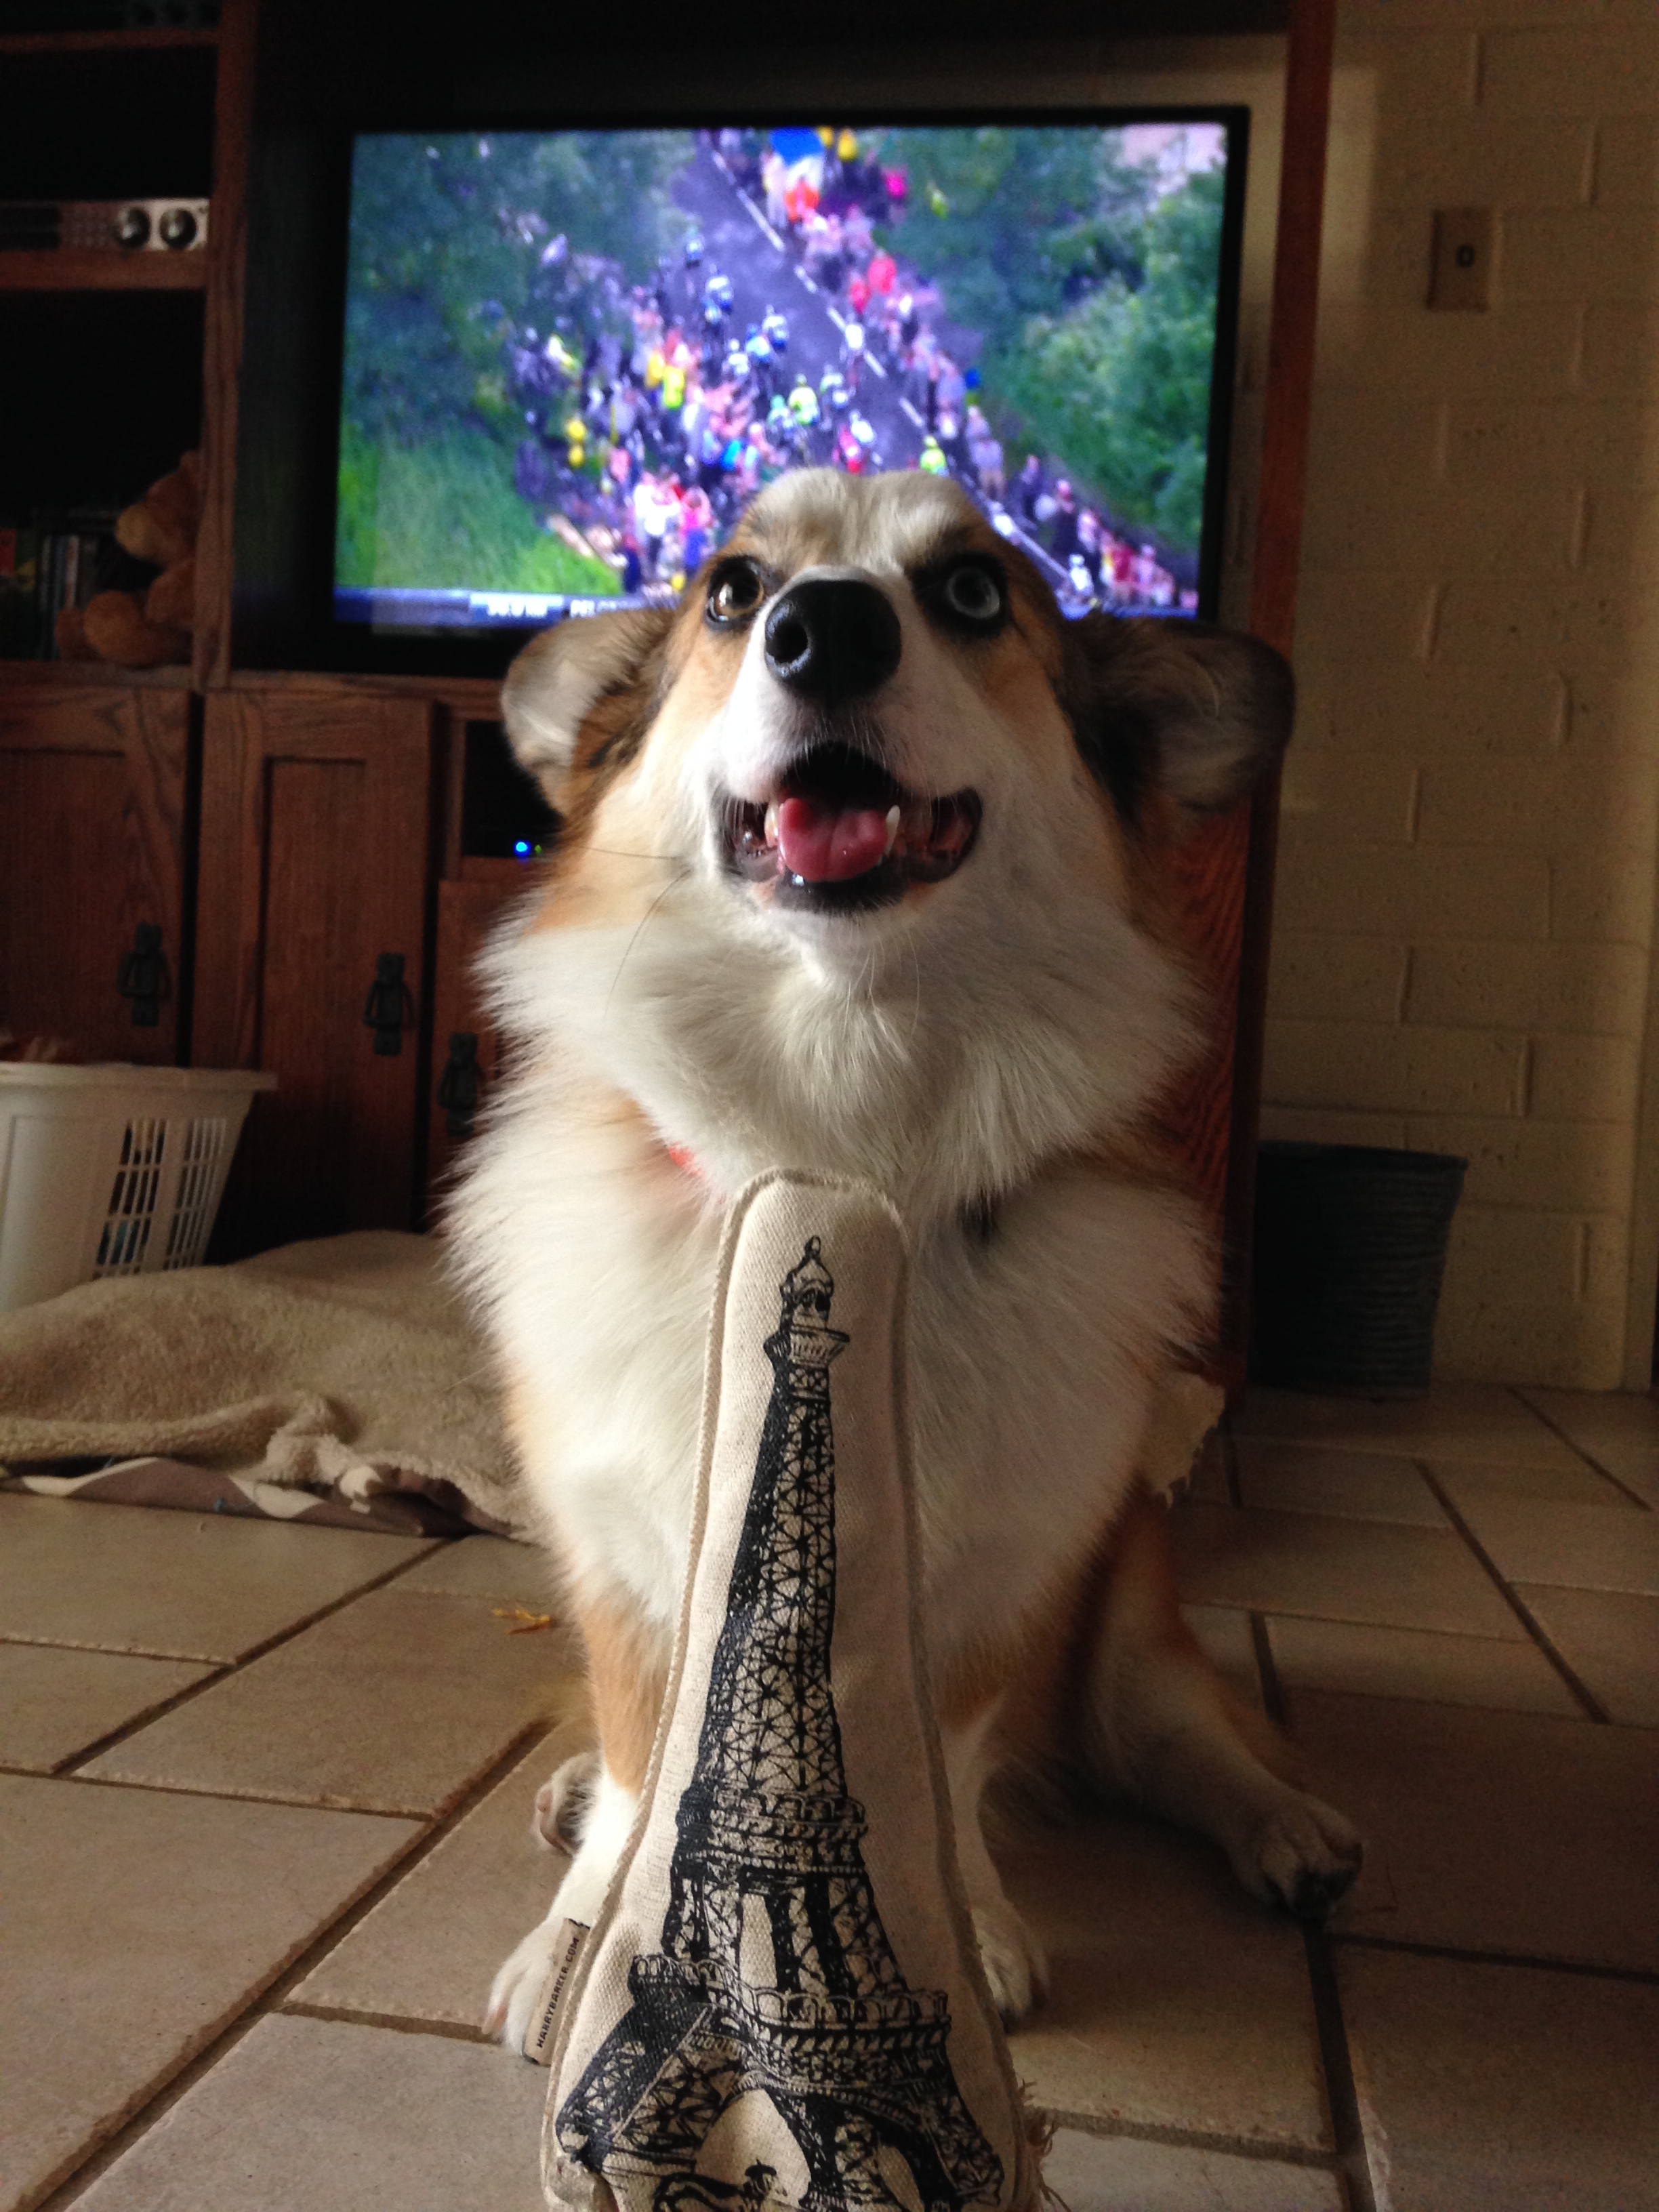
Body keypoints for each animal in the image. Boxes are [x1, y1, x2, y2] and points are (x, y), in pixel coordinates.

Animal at [455, 471, 1362, 2052]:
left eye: (974, 592)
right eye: (732, 591)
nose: (826, 630)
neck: (831, 1133)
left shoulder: (1001, 1573)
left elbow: (945, 1756)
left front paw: (968, 1927)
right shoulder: (622, 1564)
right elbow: (637, 1760)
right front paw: (581, 1941)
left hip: (1127, 1612)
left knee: (1181, 1738)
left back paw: (1285, 1826)